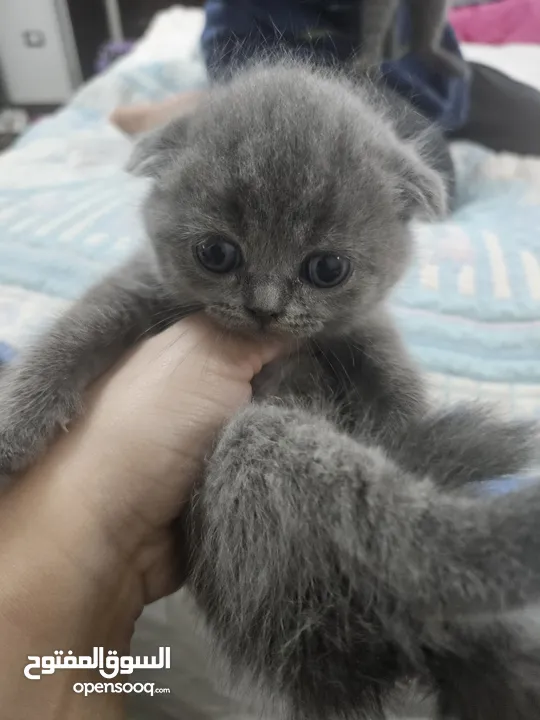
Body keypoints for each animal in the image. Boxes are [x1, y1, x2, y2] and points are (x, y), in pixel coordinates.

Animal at [0, 59, 536, 716]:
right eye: (217, 253)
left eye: (326, 268)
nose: (265, 308)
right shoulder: (139, 287)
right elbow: (74, 331)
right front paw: (15, 431)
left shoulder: (364, 333)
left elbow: (399, 390)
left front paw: (412, 433)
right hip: (257, 459)